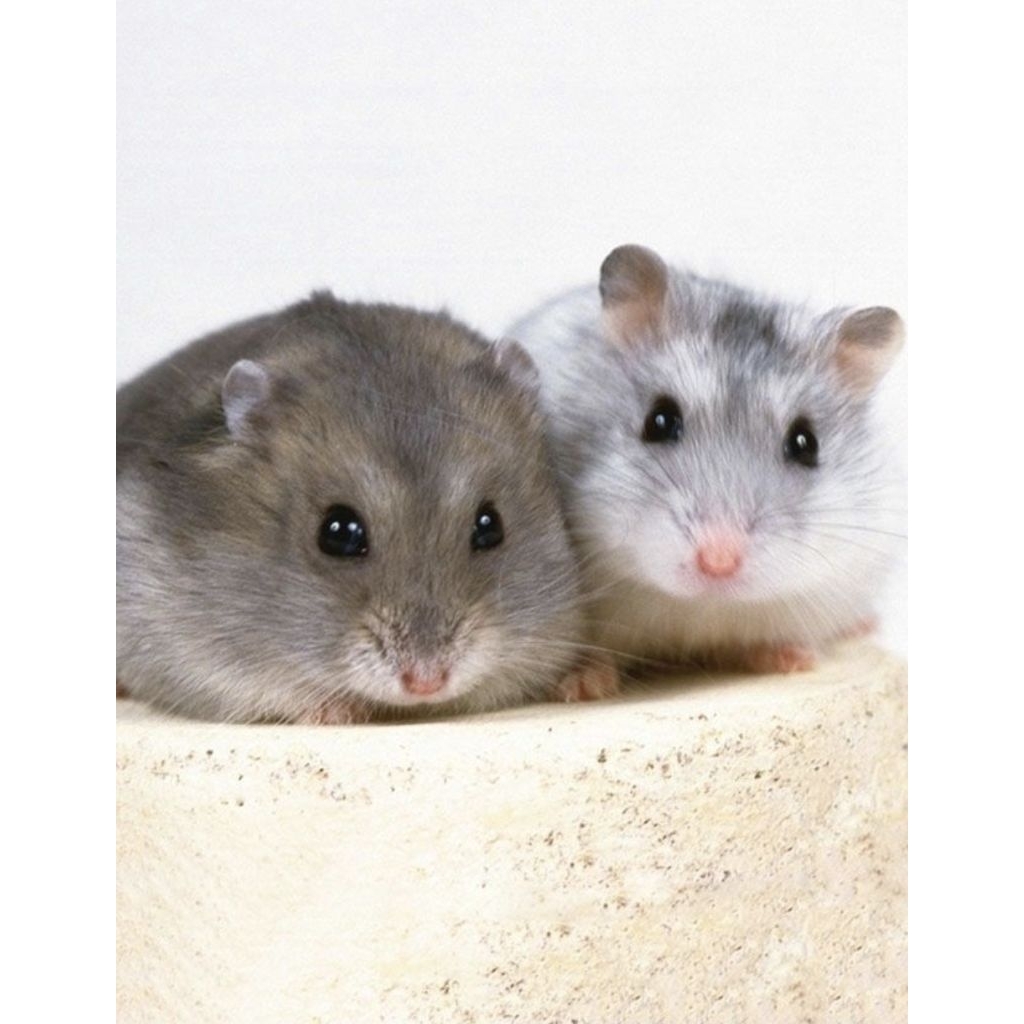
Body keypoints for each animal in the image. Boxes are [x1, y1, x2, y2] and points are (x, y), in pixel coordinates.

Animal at [508, 244, 905, 675]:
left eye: (806, 444)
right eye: (659, 421)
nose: (718, 561)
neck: (696, 604)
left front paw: (795, 660)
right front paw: (583, 682)